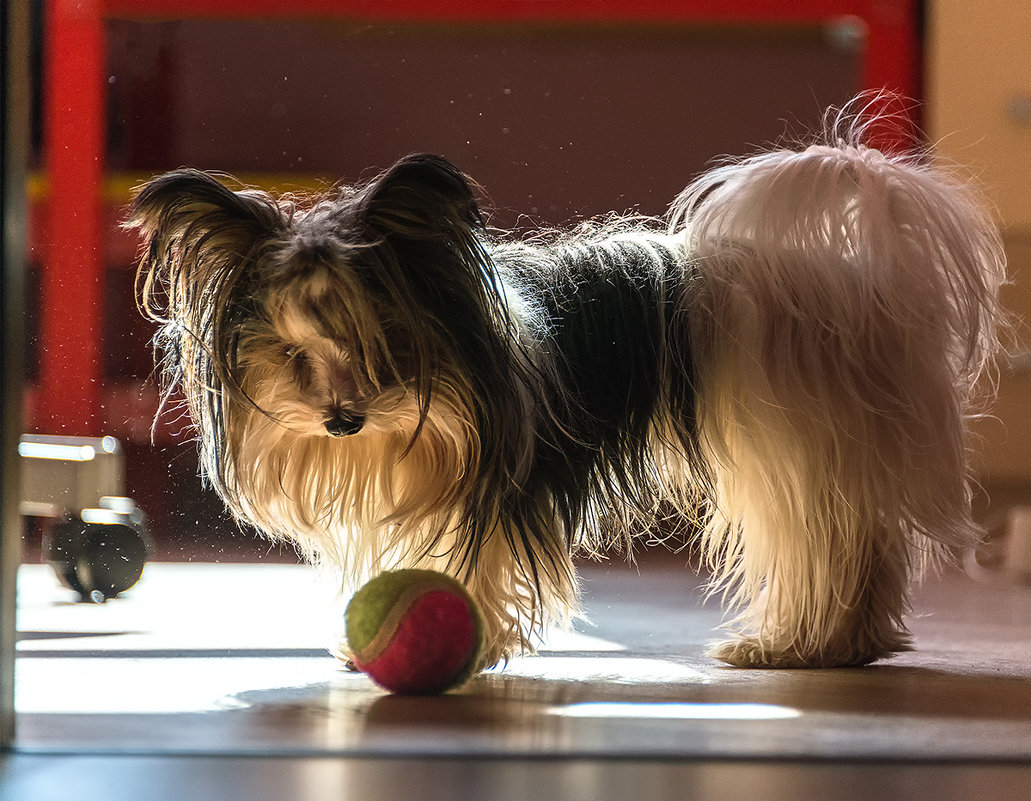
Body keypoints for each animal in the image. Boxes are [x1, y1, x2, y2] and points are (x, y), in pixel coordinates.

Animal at [128, 104, 1006, 668]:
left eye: (384, 341)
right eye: (289, 351)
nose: (342, 420)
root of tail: (852, 279)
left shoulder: (488, 490)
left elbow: (471, 568)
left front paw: (472, 636)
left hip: (794, 446)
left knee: (828, 548)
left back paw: (794, 646)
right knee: (865, 550)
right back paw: (848, 645)